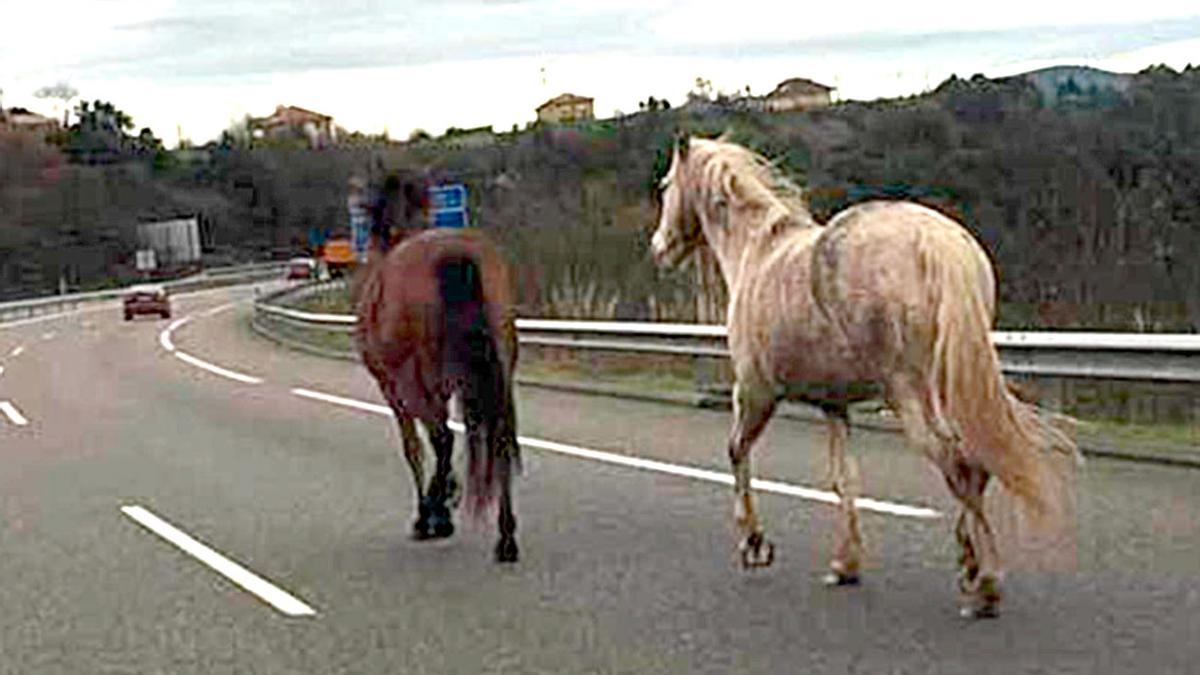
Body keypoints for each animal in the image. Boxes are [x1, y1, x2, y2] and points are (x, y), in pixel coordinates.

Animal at [355, 223, 525, 559]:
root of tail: (452, 251)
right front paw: (447, 496)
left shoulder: (394, 389)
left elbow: (415, 448)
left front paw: (436, 509)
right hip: (498, 369)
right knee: (498, 439)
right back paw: (505, 537)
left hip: (414, 379)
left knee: (441, 439)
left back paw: (431, 514)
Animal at [652, 133, 1084, 619]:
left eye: (665, 185)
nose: (659, 247)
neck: (756, 251)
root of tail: (936, 242)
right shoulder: (834, 405)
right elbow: (844, 479)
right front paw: (845, 565)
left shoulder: (755, 393)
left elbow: (736, 452)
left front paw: (754, 544)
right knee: (974, 458)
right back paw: (969, 564)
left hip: (907, 395)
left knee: (957, 461)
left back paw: (985, 585)